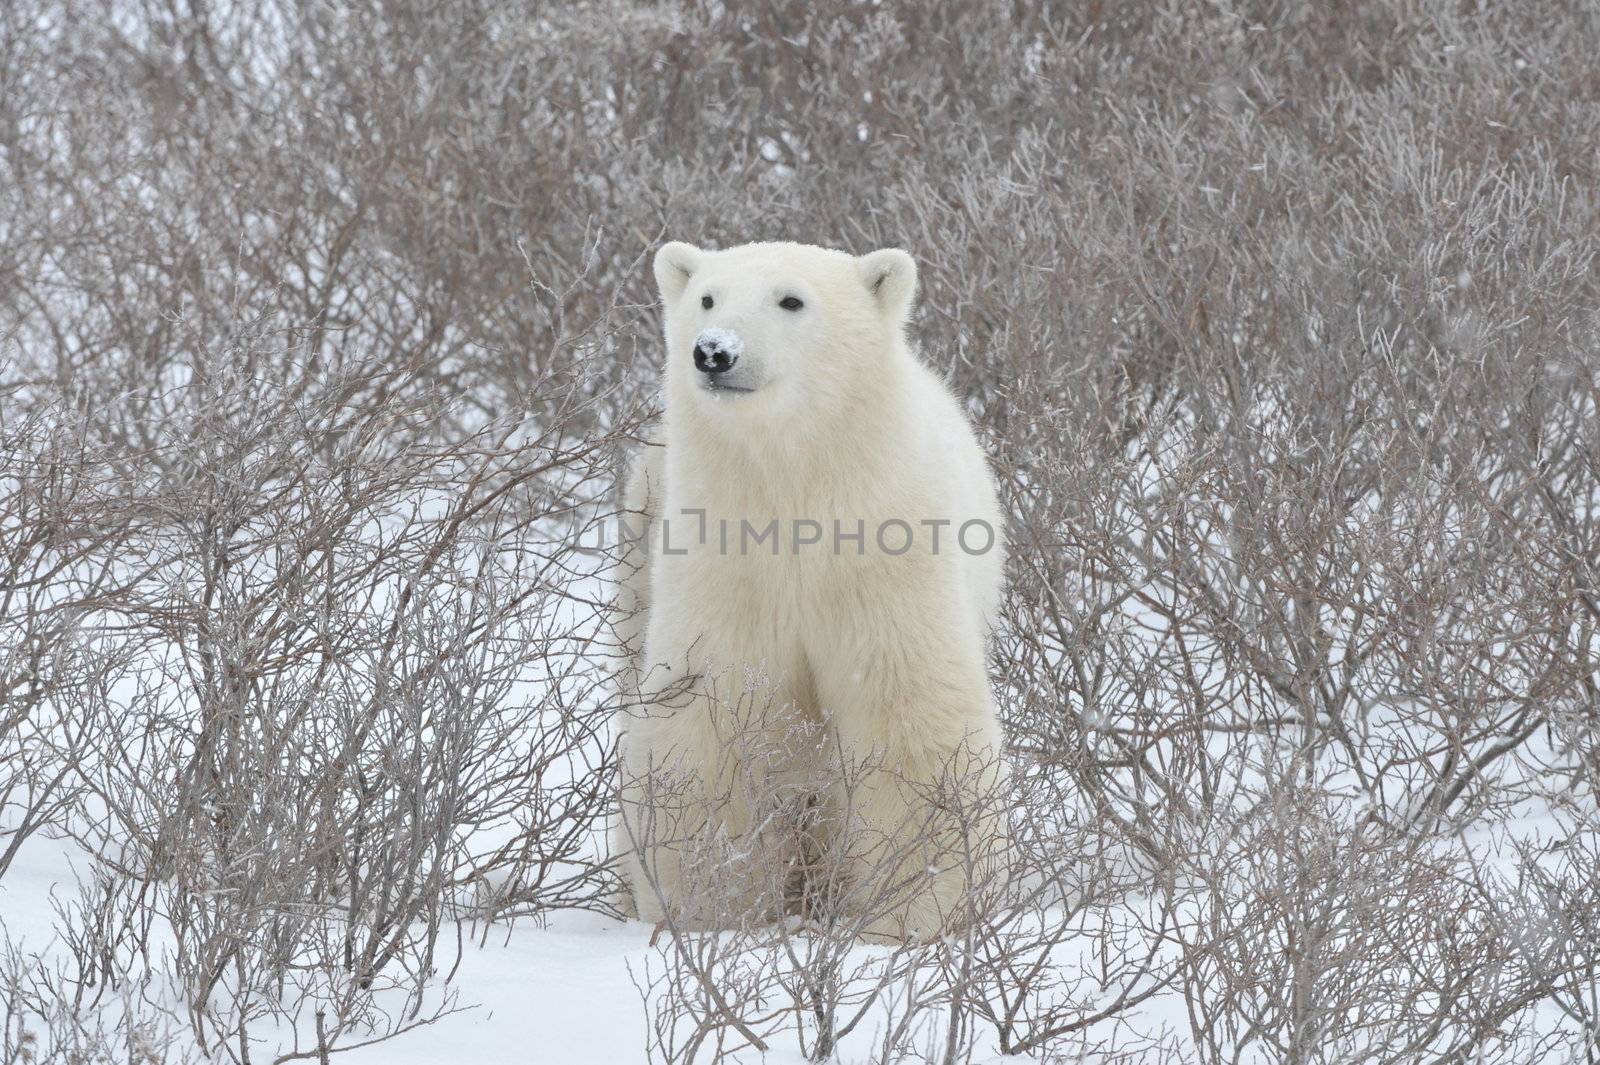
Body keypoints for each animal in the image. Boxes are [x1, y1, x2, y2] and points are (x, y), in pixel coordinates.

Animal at [611, 239, 998, 940]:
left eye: (791, 300)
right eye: (707, 297)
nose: (714, 351)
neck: (795, 485)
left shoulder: (884, 547)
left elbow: (908, 710)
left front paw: (917, 913)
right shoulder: (719, 555)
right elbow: (709, 713)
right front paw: (708, 912)